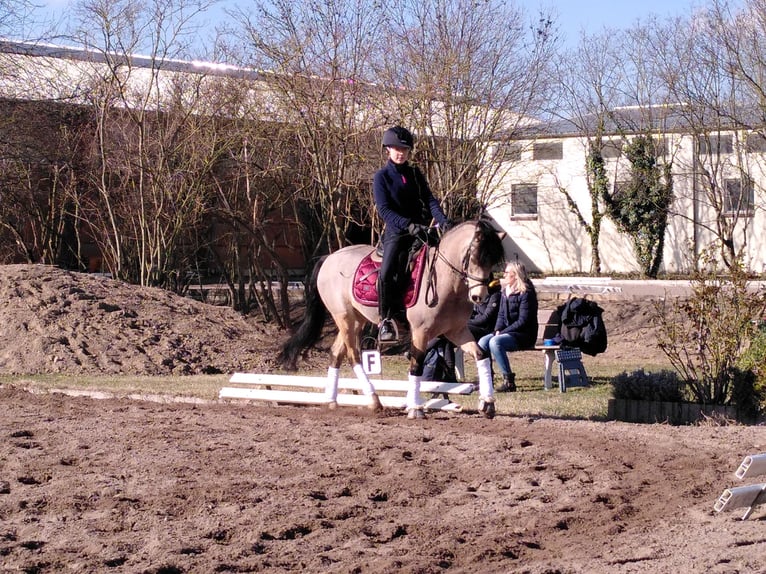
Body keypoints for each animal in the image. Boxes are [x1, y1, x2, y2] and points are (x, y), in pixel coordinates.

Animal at [280, 219, 508, 418]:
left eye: (493, 260)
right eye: (474, 256)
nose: (479, 297)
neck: (446, 281)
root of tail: (329, 257)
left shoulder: (456, 331)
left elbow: (481, 355)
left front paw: (487, 403)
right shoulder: (421, 331)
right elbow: (416, 365)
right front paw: (415, 409)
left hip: (357, 320)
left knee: (336, 353)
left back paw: (331, 401)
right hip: (344, 317)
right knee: (354, 355)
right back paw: (373, 401)